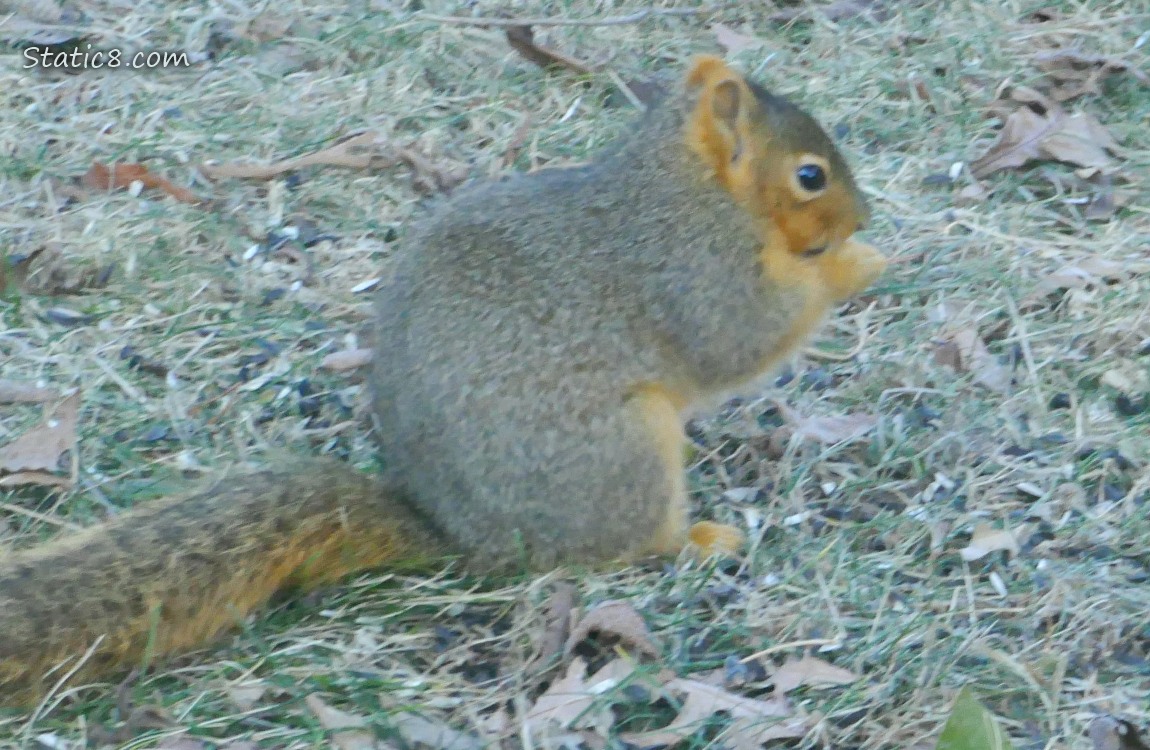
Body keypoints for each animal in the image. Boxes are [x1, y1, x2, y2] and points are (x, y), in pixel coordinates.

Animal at [0, 57, 887, 708]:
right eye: (810, 176)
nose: (863, 218)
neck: (691, 188)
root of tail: (466, 536)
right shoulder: (693, 269)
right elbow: (741, 337)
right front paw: (855, 263)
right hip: (623, 453)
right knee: (629, 543)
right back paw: (698, 539)